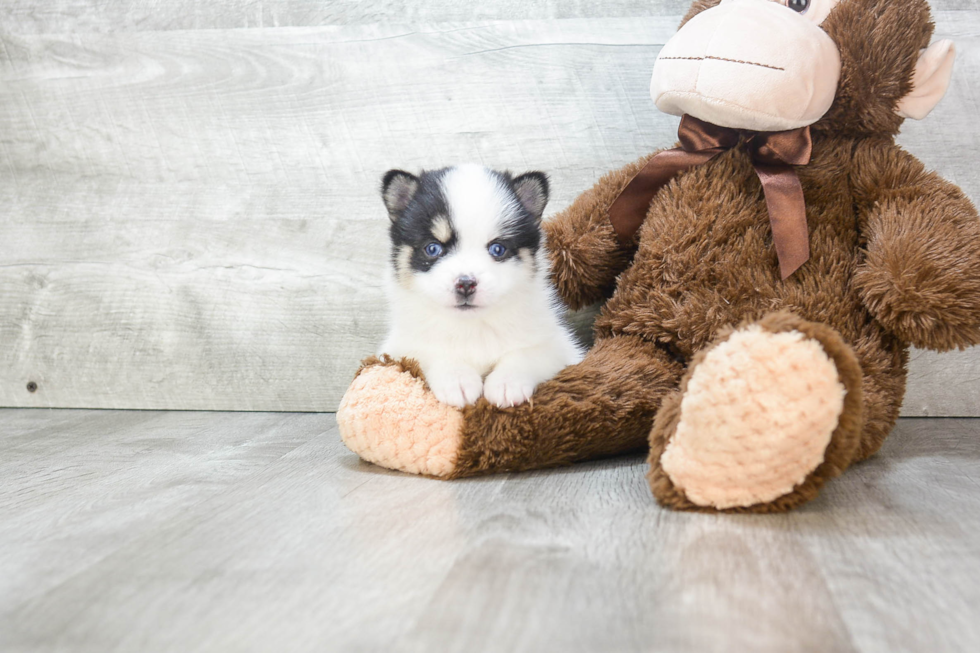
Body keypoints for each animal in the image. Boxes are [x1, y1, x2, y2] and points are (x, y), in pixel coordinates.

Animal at [378, 163, 584, 404]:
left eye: (498, 249)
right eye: (433, 248)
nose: (466, 284)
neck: (473, 326)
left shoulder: (559, 345)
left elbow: (529, 353)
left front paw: (507, 382)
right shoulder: (400, 346)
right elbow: (431, 351)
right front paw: (457, 378)